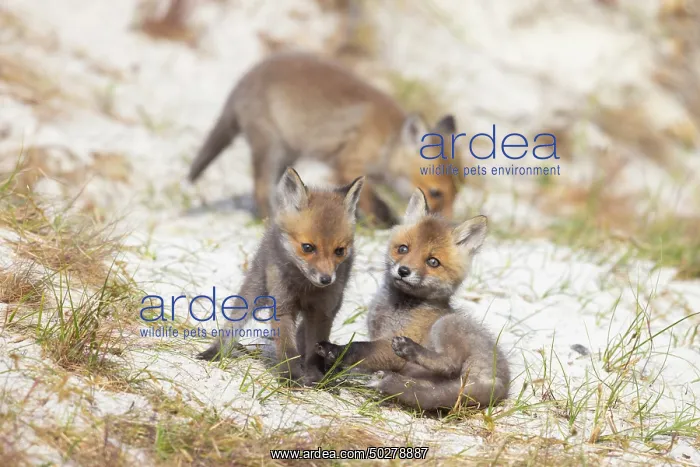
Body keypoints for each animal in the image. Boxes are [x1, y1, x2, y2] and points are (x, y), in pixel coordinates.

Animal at [187, 51, 461, 226]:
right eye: (435, 193)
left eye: (455, 194)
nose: (446, 226)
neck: (386, 141)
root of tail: (243, 81)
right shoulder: (348, 165)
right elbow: (370, 202)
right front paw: (379, 223)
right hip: (270, 146)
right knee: (261, 189)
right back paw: (268, 220)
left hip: (287, 154)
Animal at [197, 167, 365, 386]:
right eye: (308, 247)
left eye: (339, 251)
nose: (326, 279)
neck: (304, 287)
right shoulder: (282, 305)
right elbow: (286, 348)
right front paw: (291, 377)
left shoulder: (322, 311)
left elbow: (315, 349)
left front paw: (314, 376)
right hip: (255, 288)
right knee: (234, 322)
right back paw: (216, 351)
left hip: (334, 304)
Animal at [315, 188, 510, 410]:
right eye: (403, 249)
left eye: (433, 262)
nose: (404, 271)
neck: (397, 309)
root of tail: (500, 384)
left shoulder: (389, 347)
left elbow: (358, 346)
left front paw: (333, 349)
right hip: (434, 381)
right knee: (426, 391)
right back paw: (391, 382)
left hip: (447, 323)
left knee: (449, 363)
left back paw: (409, 351)